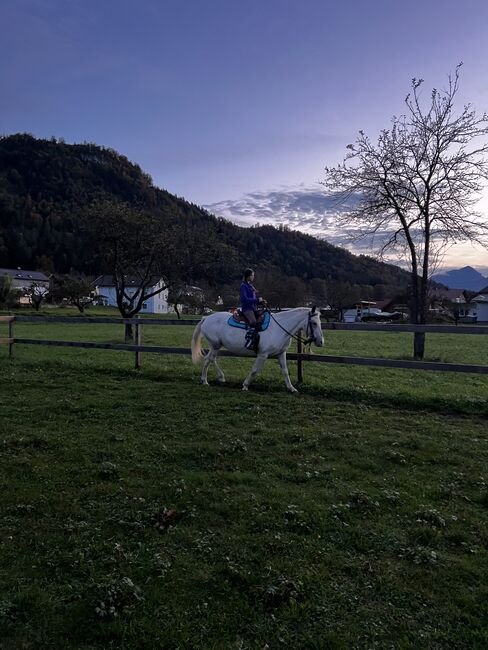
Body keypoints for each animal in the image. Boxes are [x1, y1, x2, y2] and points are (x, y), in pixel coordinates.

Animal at [191, 308, 324, 392]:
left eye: (320, 322)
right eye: (314, 323)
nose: (321, 342)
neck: (279, 328)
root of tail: (207, 317)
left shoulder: (281, 353)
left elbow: (285, 371)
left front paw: (291, 388)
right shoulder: (263, 354)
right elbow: (255, 370)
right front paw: (245, 385)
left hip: (216, 346)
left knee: (211, 359)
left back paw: (220, 377)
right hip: (215, 345)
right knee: (208, 360)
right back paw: (205, 380)